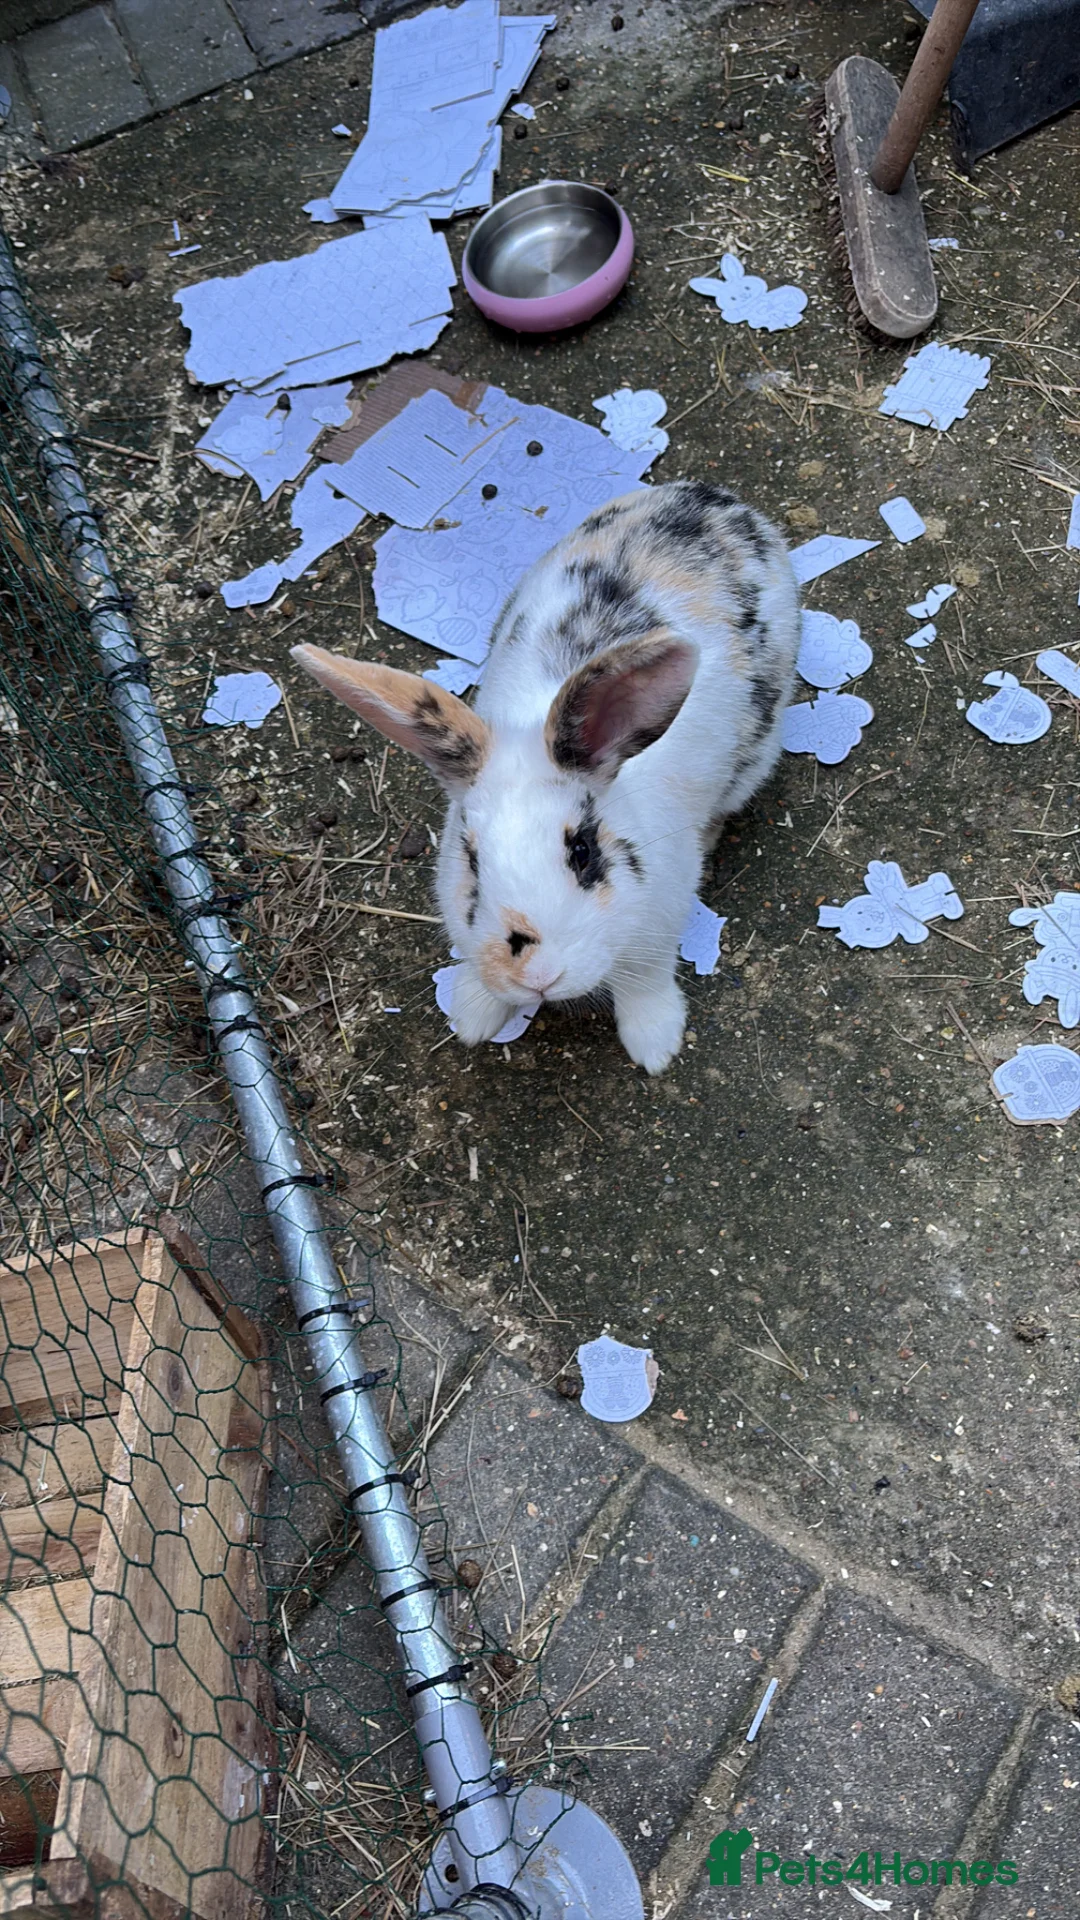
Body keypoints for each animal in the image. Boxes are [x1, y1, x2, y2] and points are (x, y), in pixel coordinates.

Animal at [292, 479, 800, 1074]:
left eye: (582, 852)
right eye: (470, 861)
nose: (536, 977)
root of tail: (712, 496)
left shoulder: (659, 926)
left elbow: (645, 984)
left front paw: (655, 1044)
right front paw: (472, 1016)